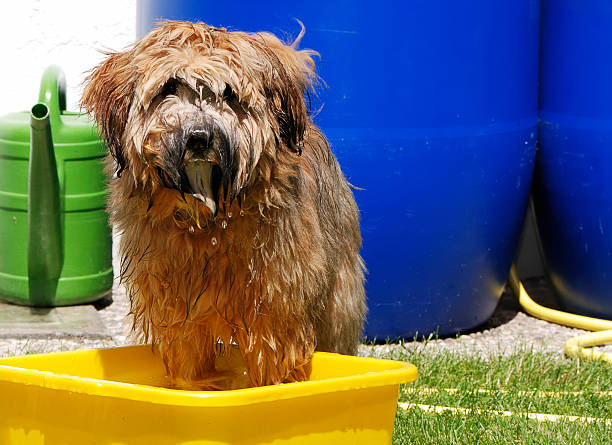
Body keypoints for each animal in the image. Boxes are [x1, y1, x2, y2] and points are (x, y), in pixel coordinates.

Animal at [83, 20, 366, 388]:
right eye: (169, 87)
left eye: (229, 94)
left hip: (339, 296)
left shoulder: (275, 304)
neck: (209, 222)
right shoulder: (177, 309)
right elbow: (187, 359)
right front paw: (194, 389)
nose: (199, 138)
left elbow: (273, 360)